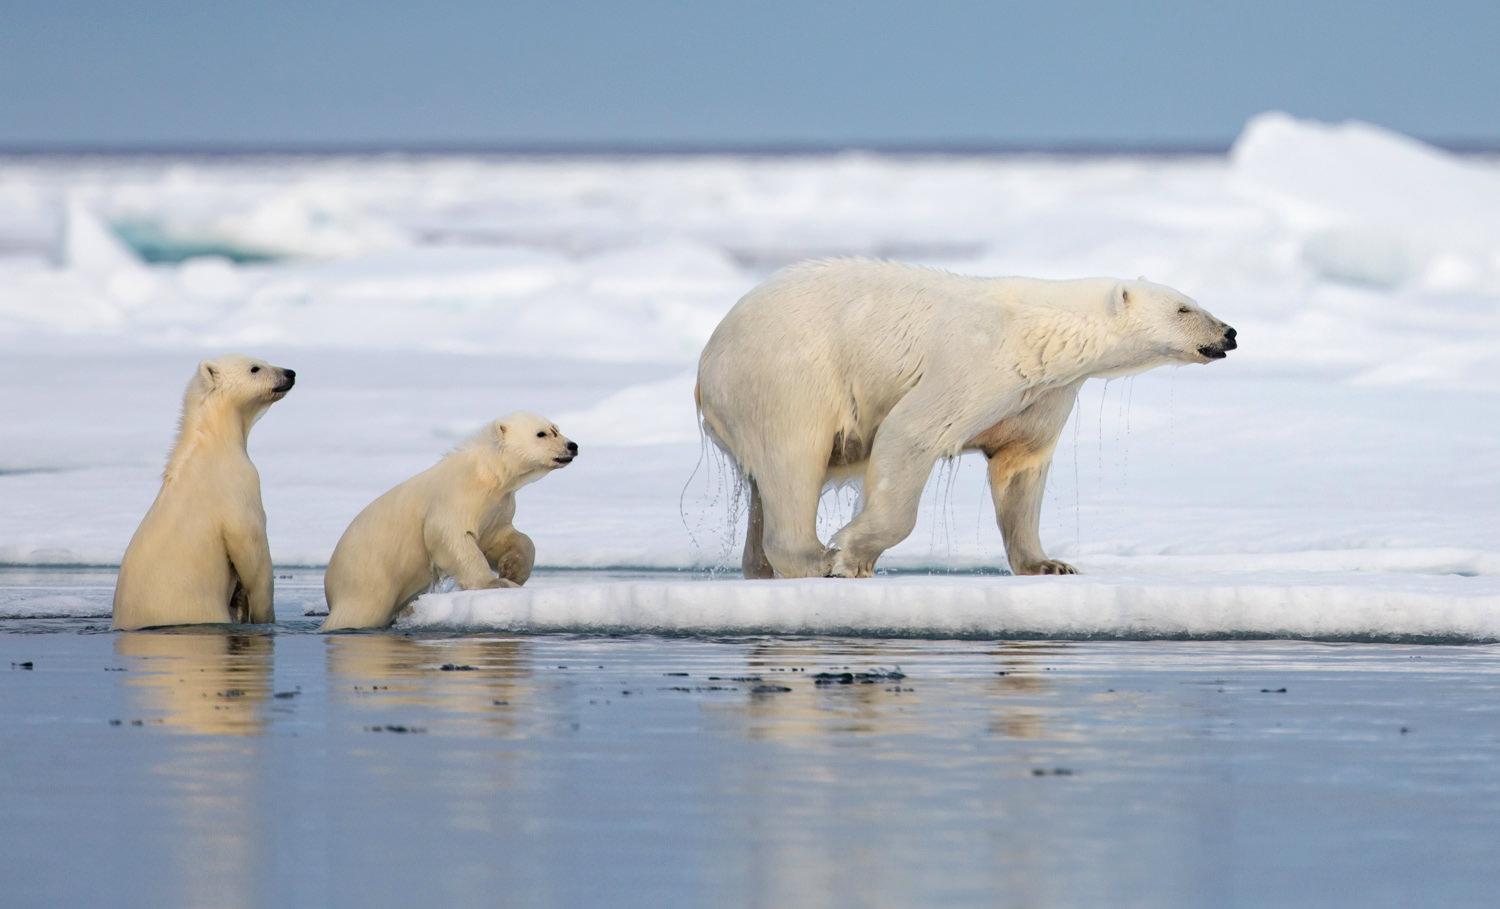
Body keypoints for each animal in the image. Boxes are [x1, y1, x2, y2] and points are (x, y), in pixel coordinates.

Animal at [319, 414, 576, 633]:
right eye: (542, 433)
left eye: (557, 428)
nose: (572, 445)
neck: (487, 473)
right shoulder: (456, 497)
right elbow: (451, 537)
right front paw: (497, 583)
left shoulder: (497, 506)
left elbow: (500, 538)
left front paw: (512, 570)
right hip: (367, 578)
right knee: (360, 611)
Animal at [696, 259, 1236, 582]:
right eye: (1184, 307)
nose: (1229, 333)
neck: (1044, 329)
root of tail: (707, 362)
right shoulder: (978, 360)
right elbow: (911, 432)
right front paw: (849, 556)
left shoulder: (1041, 393)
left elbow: (1020, 467)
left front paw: (1050, 564)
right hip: (785, 376)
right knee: (792, 459)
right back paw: (811, 559)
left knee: (763, 486)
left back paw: (759, 566)